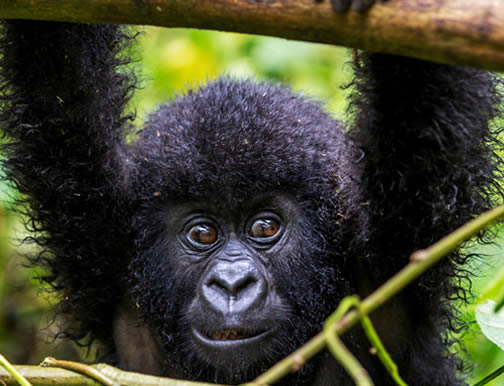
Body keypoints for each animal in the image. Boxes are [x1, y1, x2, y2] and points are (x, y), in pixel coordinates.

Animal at [0, 3, 504, 386]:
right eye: (202, 233)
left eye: (265, 226)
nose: (231, 284)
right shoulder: (102, 234)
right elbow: (60, 85)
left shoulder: (394, 247)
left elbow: (424, 105)